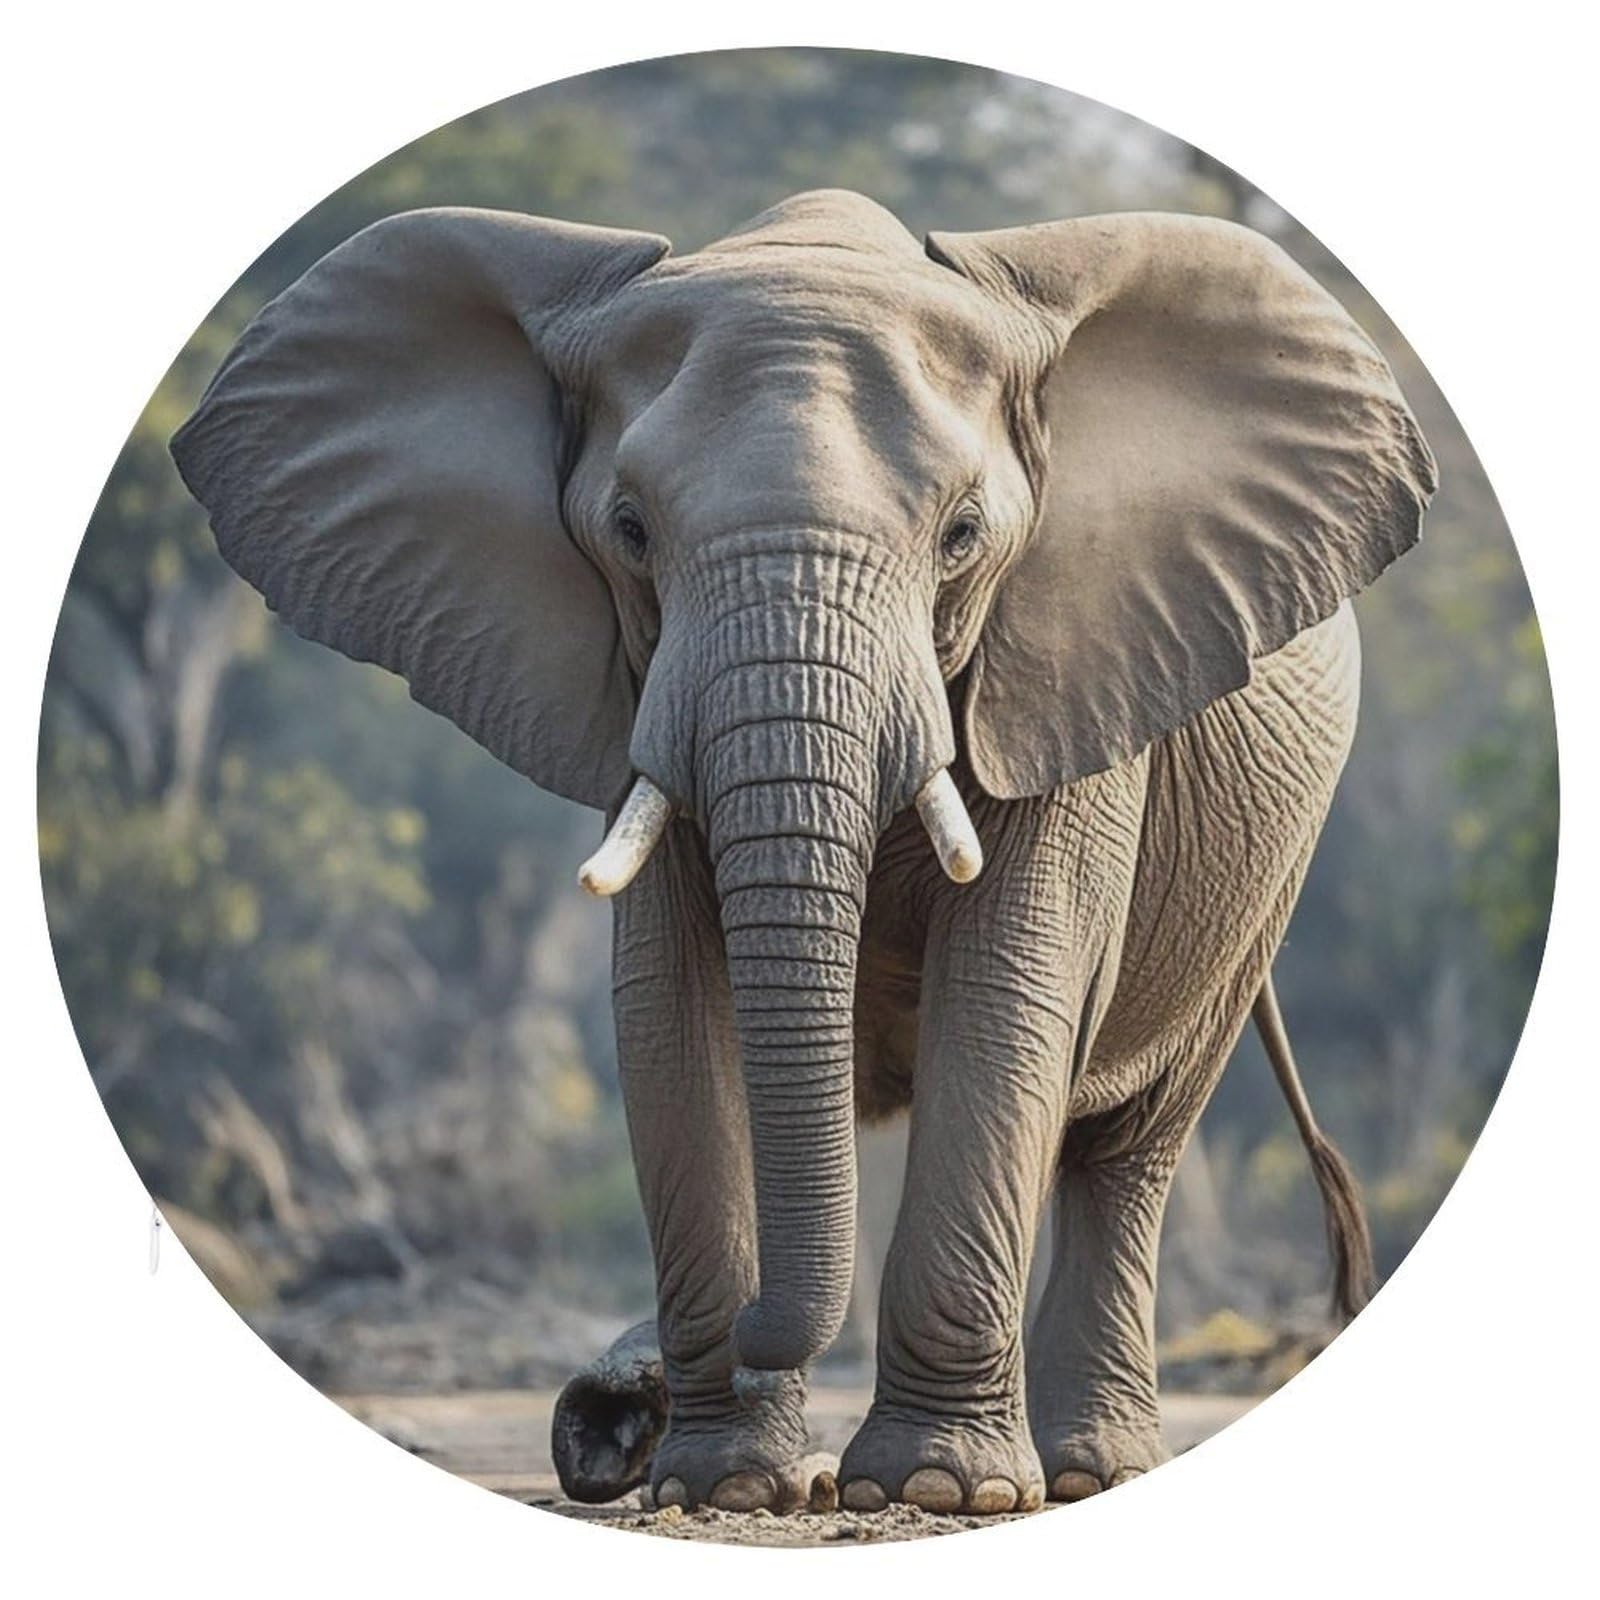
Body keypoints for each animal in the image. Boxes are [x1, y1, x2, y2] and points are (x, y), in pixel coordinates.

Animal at [171, 188, 1435, 1517]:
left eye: (963, 534)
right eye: (629, 530)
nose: (604, 1407)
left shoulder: (1065, 671)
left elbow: (1007, 992)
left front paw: (936, 1490)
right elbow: (670, 1007)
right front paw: (728, 1484)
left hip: (1267, 866)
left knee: (1127, 1143)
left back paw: (1088, 1469)